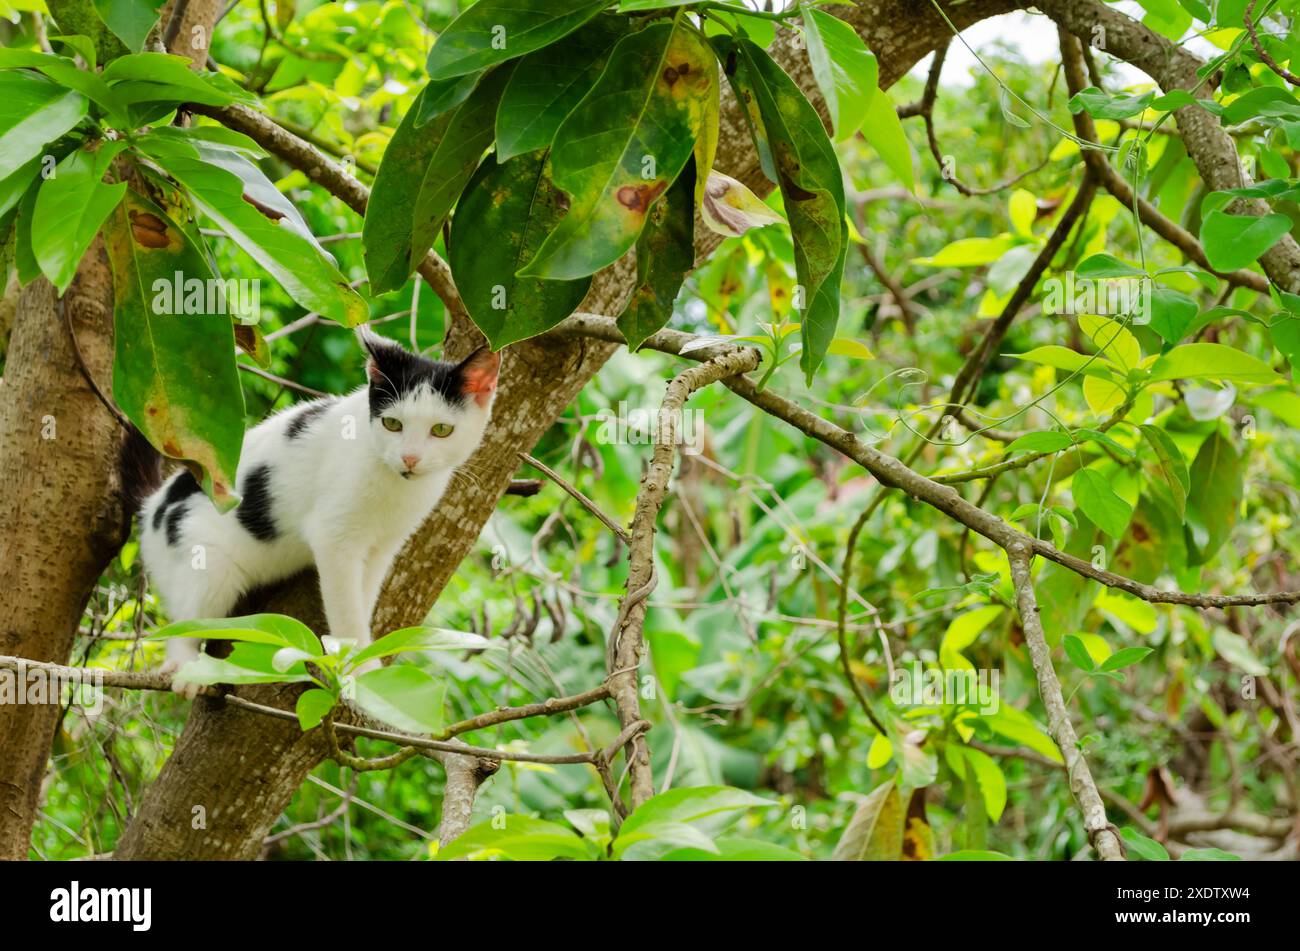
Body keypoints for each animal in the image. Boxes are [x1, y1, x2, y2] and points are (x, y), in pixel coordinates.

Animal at [133, 329, 496, 696]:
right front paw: (358, 668)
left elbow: (363, 596)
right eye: (392, 423)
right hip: (205, 559)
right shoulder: (334, 538)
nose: (409, 458)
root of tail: (151, 509)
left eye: (441, 430)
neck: (394, 483)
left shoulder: (384, 546)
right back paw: (185, 669)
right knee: (187, 620)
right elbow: (346, 606)